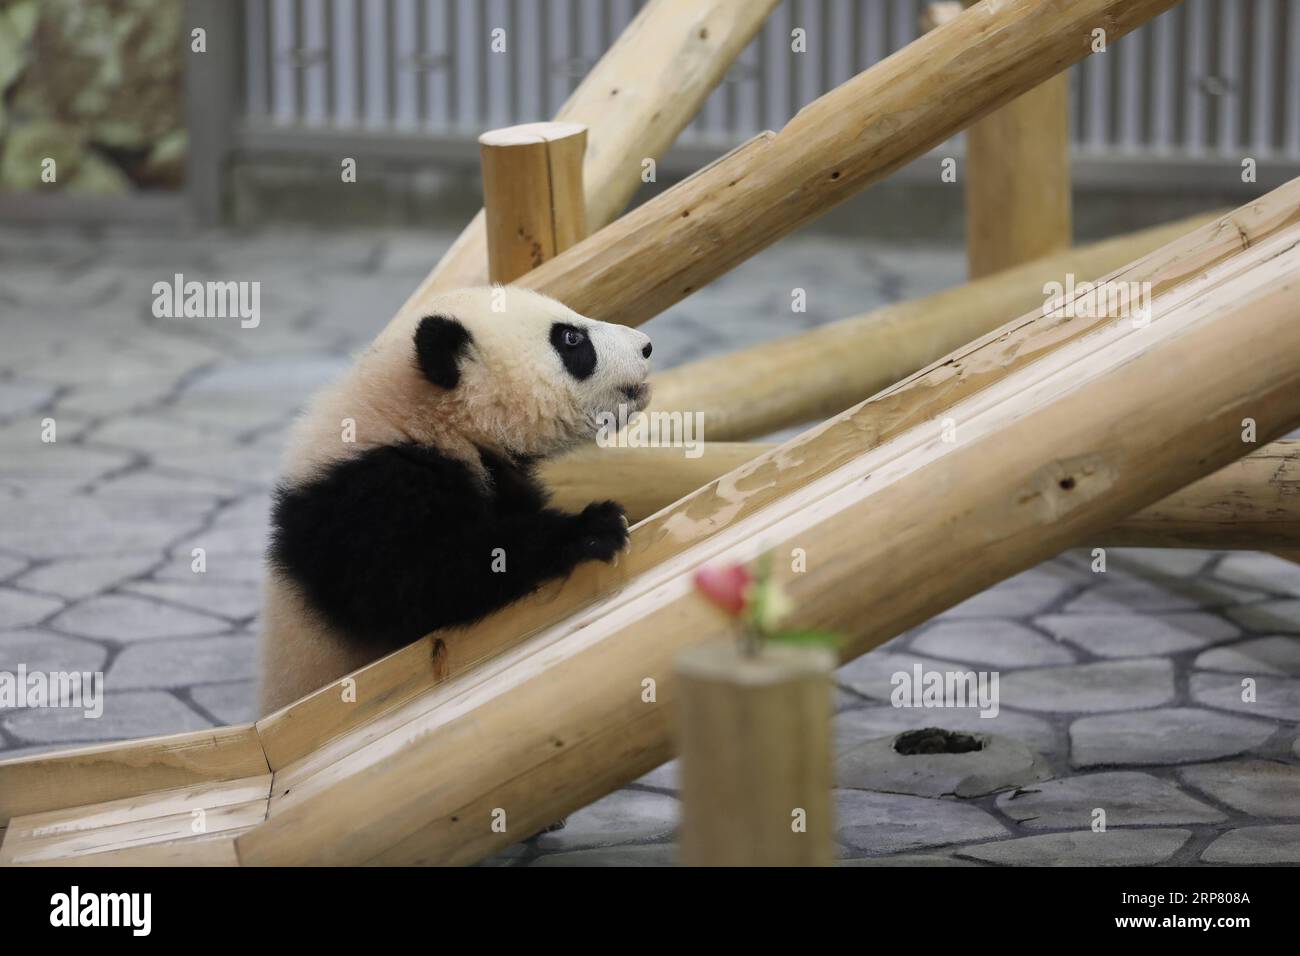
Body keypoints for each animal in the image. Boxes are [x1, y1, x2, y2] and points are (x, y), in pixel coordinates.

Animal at [257, 286, 653, 714]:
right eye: (571, 339)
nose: (646, 346)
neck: (422, 417)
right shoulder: (362, 500)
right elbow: (423, 585)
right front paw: (592, 529)